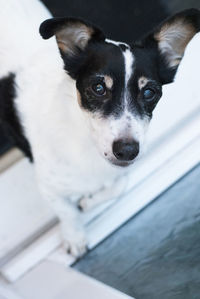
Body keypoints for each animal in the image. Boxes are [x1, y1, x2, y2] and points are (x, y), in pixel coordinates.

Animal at [0, 0, 200, 258]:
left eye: (149, 92)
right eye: (98, 88)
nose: (127, 151)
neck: (86, 140)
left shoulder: (118, 172)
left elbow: (119, 186)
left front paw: (88, 201)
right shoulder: (49, 188)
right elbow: (68, 212)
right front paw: (75, 238)